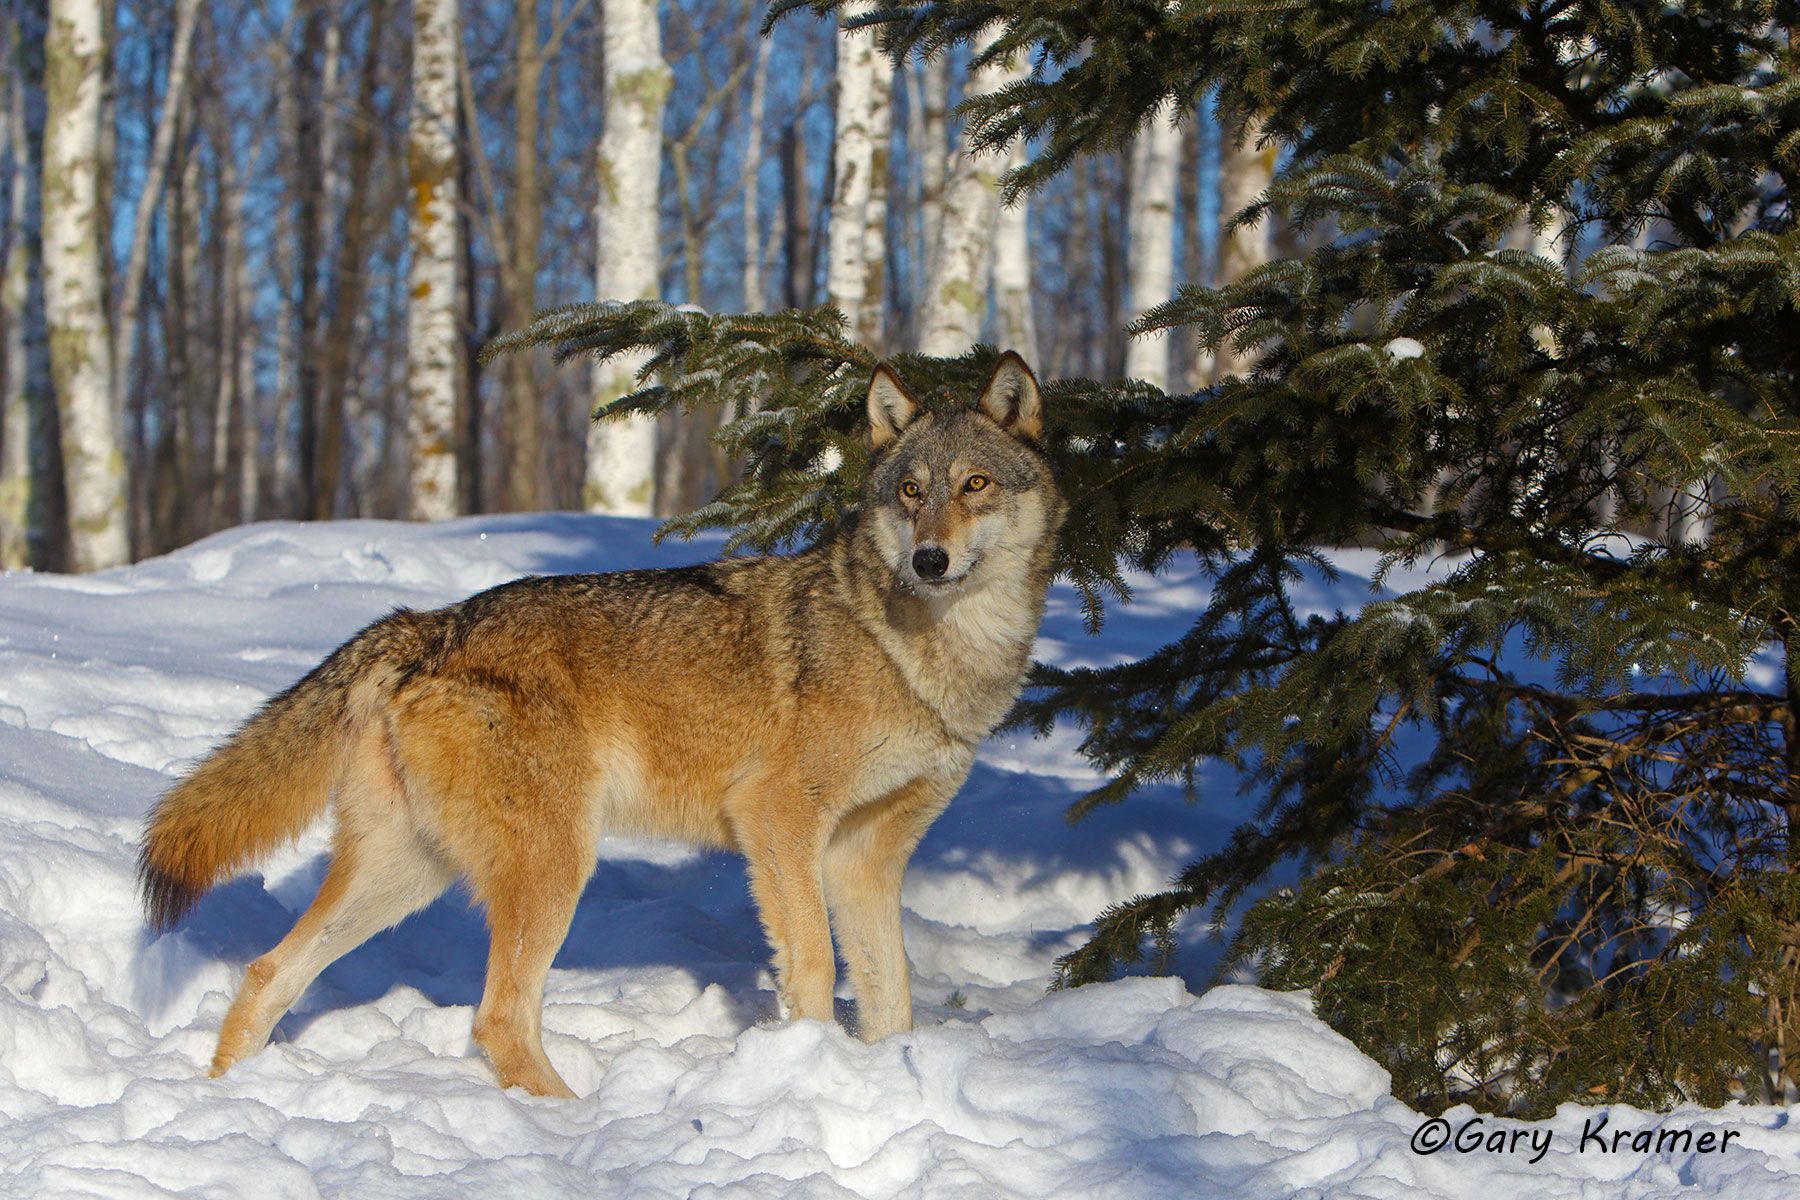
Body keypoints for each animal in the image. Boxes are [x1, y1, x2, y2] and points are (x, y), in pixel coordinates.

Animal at [138, 353, 1065, 1097]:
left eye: (974, 485)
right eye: (911, 492)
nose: (930, 560)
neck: (920, 654)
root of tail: (428, 623)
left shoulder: (863, 857)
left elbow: (891, 992)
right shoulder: (778, 821)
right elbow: (810, 967)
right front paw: (810, 1065)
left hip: (409, 875)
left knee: (269, 973)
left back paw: (226, 1098)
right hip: (553, 864)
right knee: (497, 1017)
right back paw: (573, 1123)